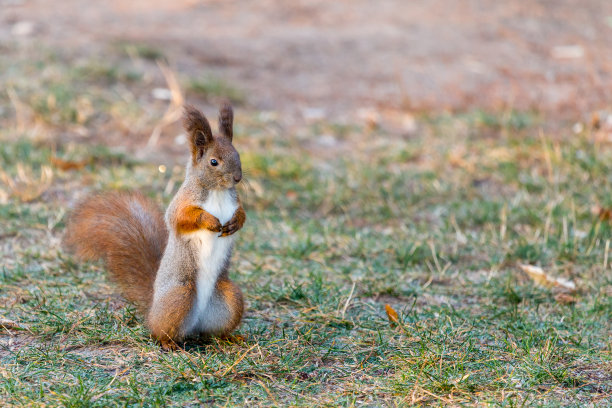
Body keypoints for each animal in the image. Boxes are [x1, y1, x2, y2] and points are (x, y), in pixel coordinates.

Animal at [64, 103, 246, 350]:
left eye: (237, 154)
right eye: (214, 162)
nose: (237, 178)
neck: (217, 192)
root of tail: (152, 309)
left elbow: (241, 213)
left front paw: (236, 222)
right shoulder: (181, 203)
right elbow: (181, 217)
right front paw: (209, 220)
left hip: (229, 298)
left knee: (212, 332)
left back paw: (230, 337)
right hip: (180, 295)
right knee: (160, 331)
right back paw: (169, 343)